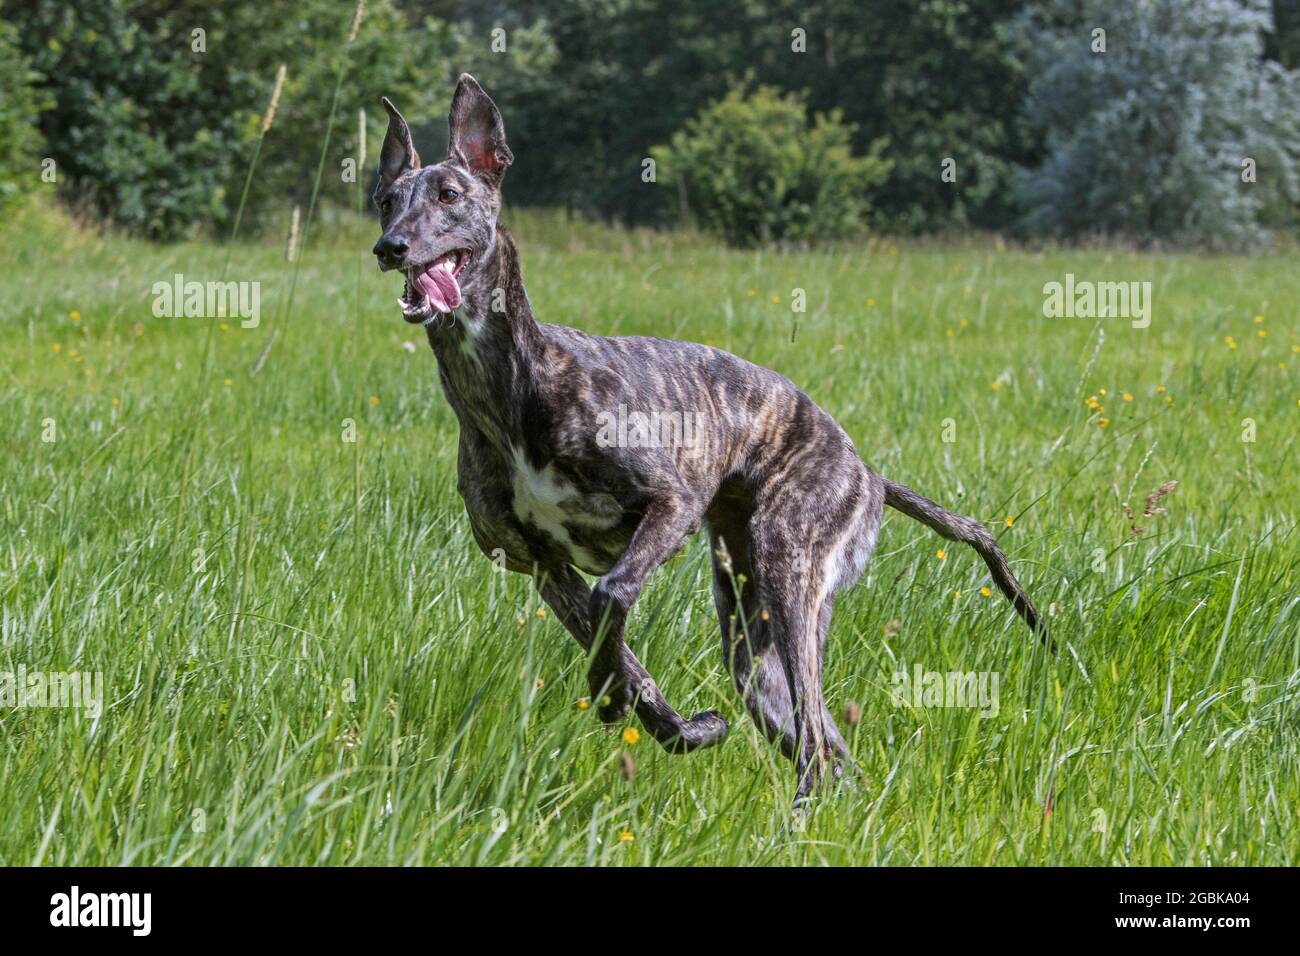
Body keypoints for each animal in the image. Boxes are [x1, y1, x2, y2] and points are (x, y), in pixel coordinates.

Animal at [369, 72, 1045, 801]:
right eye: (385, 201)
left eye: (449, 195)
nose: (389, 248)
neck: (512, 388)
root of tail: (869, 471)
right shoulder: (544, 568)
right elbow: (623, 654)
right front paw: (679, 725)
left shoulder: (671, 506)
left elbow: (614, 599)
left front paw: (613, 698)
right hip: (752, 641)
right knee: (829, 745)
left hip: (791, 564)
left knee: (815, 733)